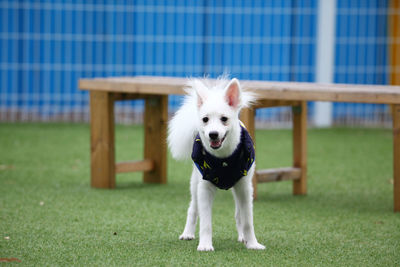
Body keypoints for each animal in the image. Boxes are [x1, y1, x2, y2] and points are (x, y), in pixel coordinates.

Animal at [168, 77, 266, 251]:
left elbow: (248, 220)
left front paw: (253, 244)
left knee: (238, 214)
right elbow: (206, 222)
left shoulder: (245, 188)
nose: (213, 134)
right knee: (193, 209)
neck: (223, 159)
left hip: (237, 189)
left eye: (224, 119)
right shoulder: (204, 189)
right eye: (205, 119)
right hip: (195, 185)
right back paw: (187, 233)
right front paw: (205, 245)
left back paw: (242, 237)